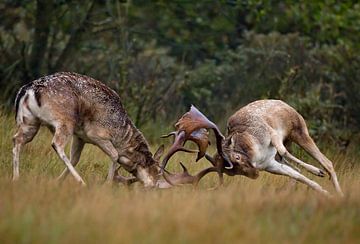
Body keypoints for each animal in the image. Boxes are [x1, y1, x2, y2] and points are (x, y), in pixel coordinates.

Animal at [12, 71, 210, 188]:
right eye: (156, 172)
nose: (152, 186)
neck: (122, 137)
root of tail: (28, 90)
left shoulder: (80, 136)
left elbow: (75, 158)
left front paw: (56, 182)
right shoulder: (96, 135)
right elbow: (114, 155)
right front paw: (107, 184)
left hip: (29, 120)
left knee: (16, 140)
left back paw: (16, 177)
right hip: (64, 121)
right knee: (56, 144)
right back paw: (81, 182)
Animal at [162, 100, 344, 197]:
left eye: (237, 158)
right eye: (233, 173)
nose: (255, 174)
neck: (255, 152)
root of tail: (285, 103)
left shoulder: (272, 133)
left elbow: (285, 153)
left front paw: (317, 172)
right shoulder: (270, 164)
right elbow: (298, 176)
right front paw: (324, 192)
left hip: (299, 130)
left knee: (327, 162)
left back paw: (337, 189)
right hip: (286, 145)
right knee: (295, 168)